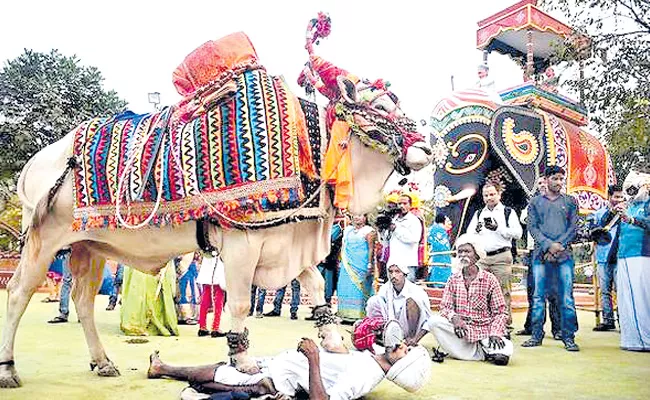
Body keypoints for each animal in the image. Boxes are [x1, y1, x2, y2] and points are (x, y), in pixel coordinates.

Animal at [2, 13, 432, 388]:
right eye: (379, 106)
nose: (427, 147)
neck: (309, 145)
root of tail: (36, 162)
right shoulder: (242, 246)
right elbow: (240, 305)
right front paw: (242, 361)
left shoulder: (289, 239)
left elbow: (313, 288)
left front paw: (333, 343)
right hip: (43, 242)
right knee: (19, 292)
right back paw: (9, 369)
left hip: (88, 245)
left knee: (83, 299)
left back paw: (103, 361)